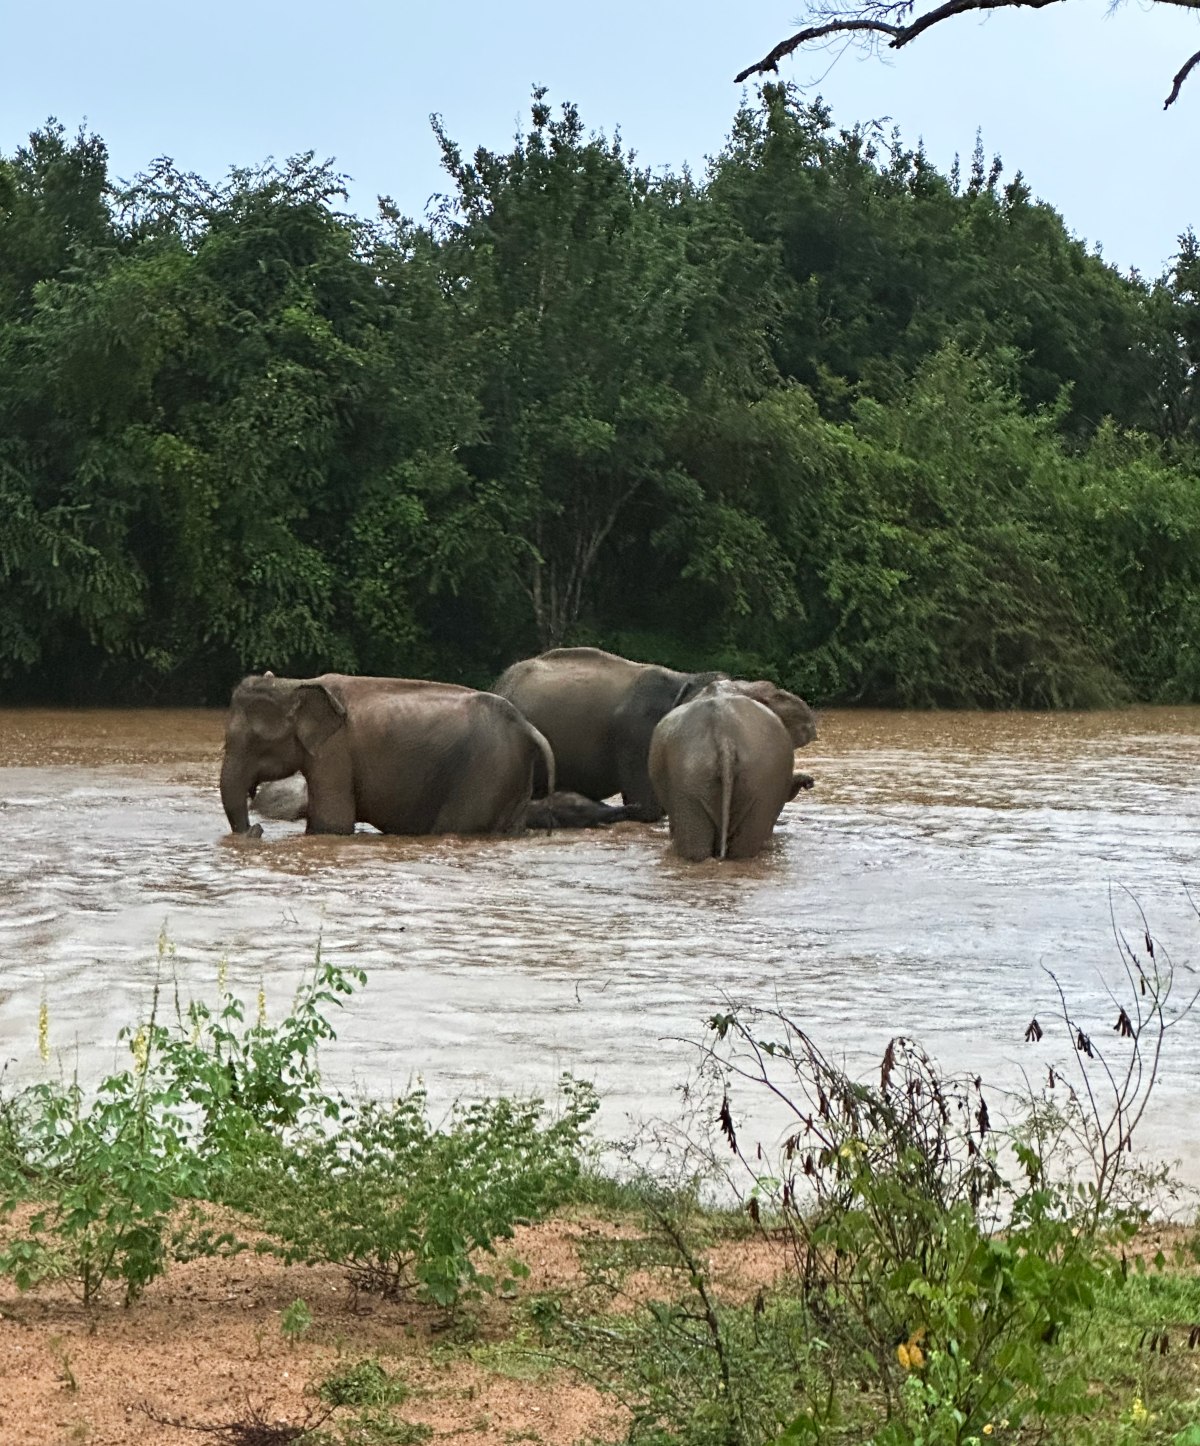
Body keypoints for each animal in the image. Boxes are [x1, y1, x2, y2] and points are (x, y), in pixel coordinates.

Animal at [220, 672, 554, 837]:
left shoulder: (334, 751)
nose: (257, 830)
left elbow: (331, 825)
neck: (295, 683)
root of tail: (528, 727)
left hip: (486, 774)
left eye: (254, 741)